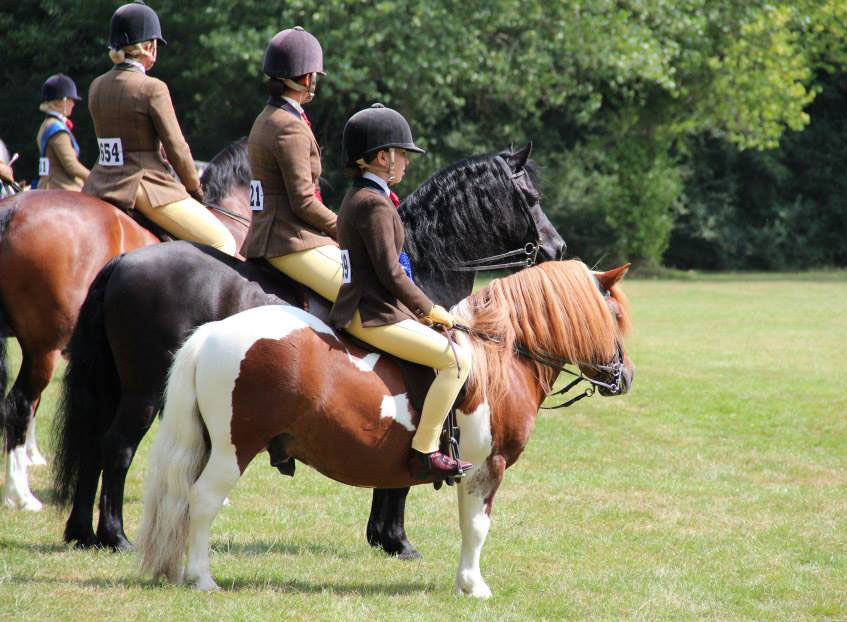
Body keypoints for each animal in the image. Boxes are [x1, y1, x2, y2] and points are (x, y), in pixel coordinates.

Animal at [54, 145, 568, 556]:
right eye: (532, 198)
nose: (559, 247)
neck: (419, 272)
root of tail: (124, 261)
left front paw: (383, 536)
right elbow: (412, 456)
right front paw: (396, 540)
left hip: (117, 387)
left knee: (92, 444)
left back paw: (82, 533)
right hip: (145, 391)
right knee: (117, 447)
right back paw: (115, 536)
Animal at [139, 260, 632, 600]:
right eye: (616, 317)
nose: (624, 377)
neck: (502, 356)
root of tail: (213, 331)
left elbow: (467, 524)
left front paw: (464, 583)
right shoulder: (487, 467)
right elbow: (476, 527)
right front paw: (474, 587)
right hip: (233, 449)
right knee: (203, 500)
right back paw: (203, 578)